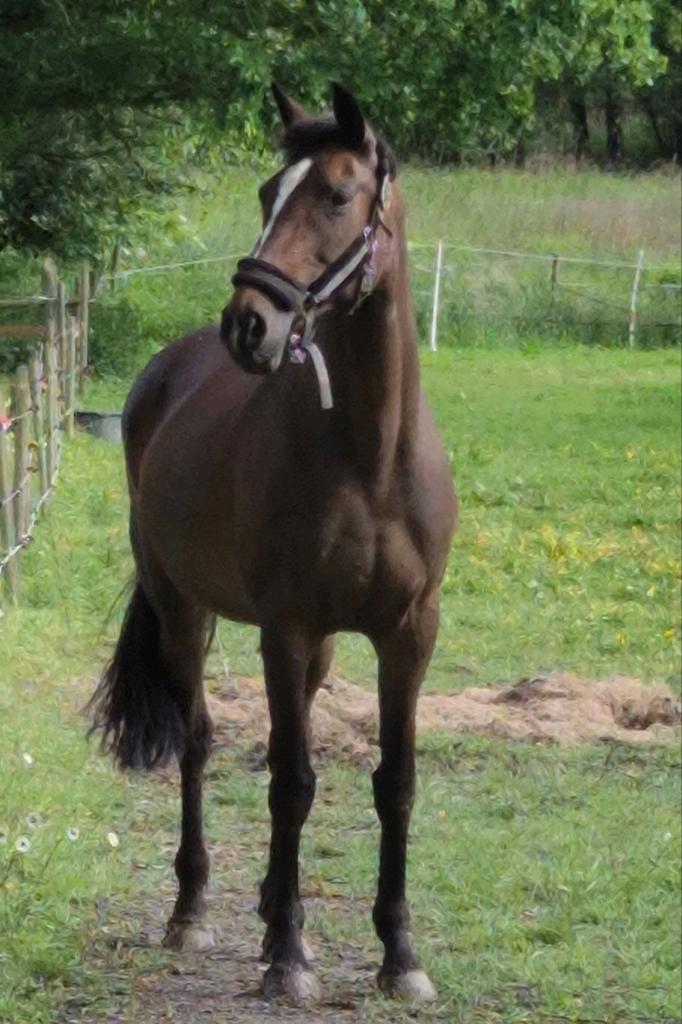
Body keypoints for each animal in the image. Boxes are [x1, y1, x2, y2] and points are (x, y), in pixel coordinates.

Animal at [90, 82, 457, 1006]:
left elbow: (395, 784)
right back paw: (195, 909)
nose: (247, 325)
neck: (370, 458)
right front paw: (287, 957)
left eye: (337, 194)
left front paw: (399, 954)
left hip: (320, 646)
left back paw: (263, 905)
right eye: (266, 194)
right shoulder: (285, 630)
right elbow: (291, 782)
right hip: (184, 613)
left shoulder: (409, 634)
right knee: (198, 743)